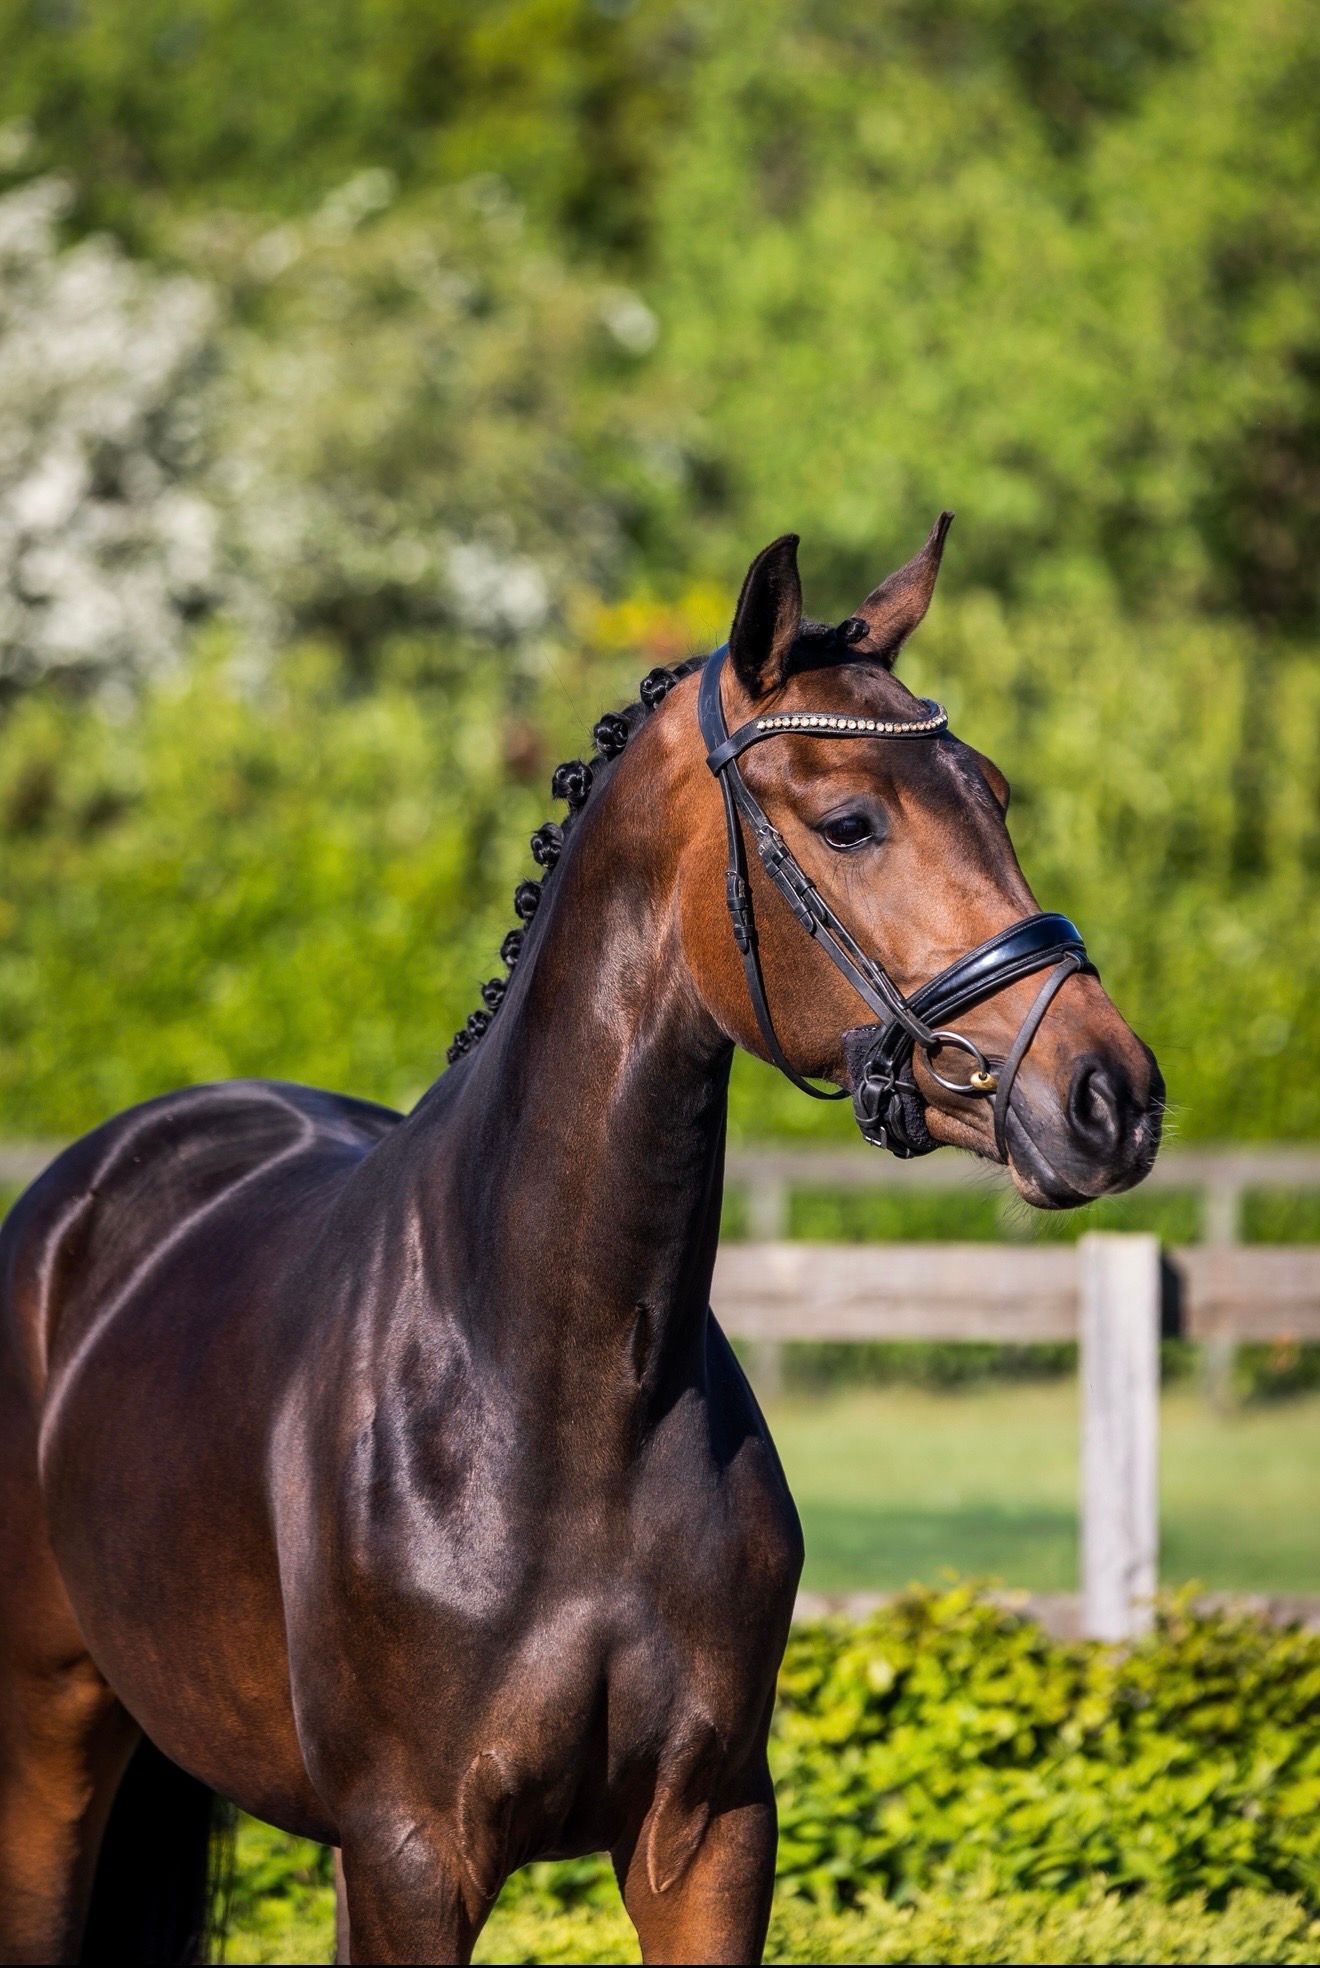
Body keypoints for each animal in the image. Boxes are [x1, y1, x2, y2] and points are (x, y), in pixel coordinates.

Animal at [0, 517, 1163, 1965]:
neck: (557, 1387)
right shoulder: (411, 1854)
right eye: (851, 820)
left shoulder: (710, 1836)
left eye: (995, 794)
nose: (1111, 1097)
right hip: (49, 1741)